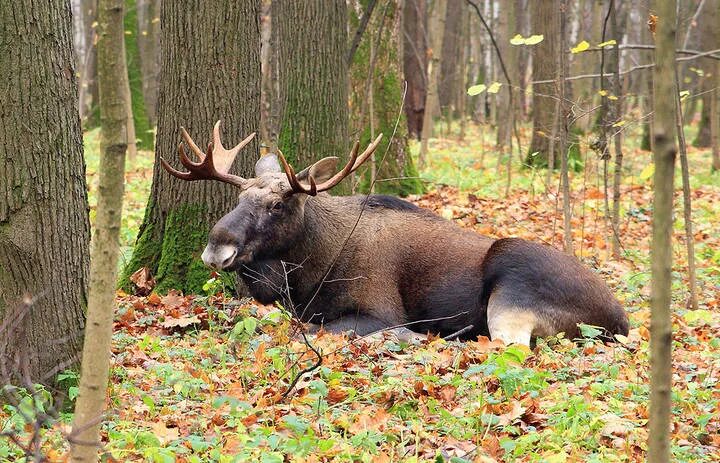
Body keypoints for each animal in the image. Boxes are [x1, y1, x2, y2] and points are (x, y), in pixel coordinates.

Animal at [160, 121, 628, 346]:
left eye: (277, 205)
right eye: (238, 199)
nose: (216, 249)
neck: (310, 270)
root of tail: (621, 320)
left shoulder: (379, 310)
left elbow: (320, 329)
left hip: (512, 289)